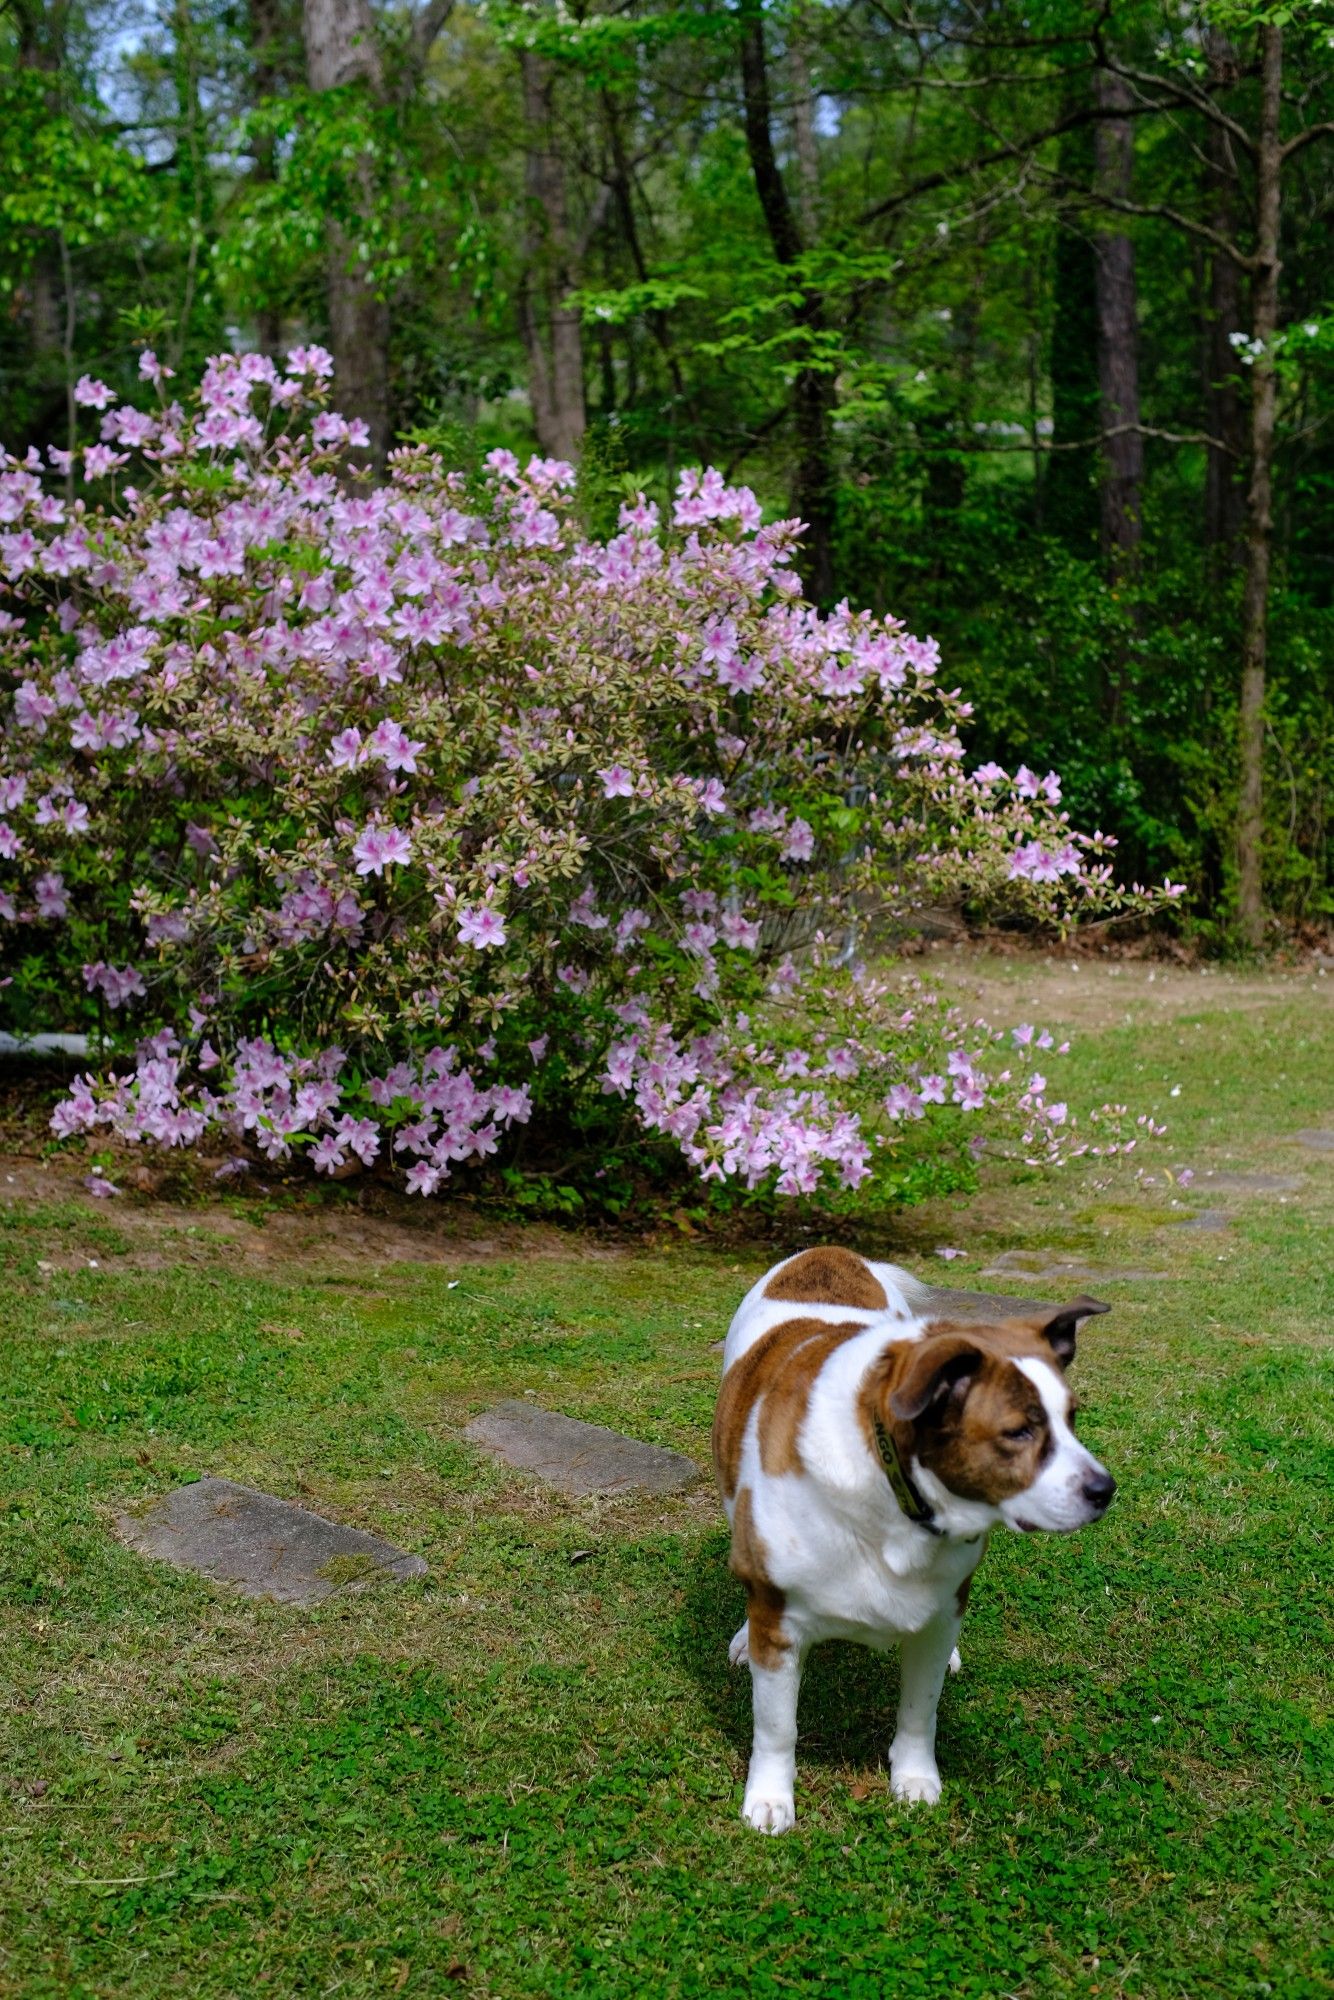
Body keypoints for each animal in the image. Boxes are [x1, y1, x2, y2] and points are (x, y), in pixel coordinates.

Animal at [708, 1240, 1120, 1832]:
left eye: (1072, 1419)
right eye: (1019, 1432)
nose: (1105, 1490)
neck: (892, 1487)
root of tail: (826, 1251)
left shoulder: (940, 1610)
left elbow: (920, 1707)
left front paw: (914, 1775)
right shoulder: (779, 1619)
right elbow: (777, 1726)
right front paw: (769, 1796)